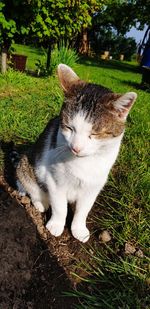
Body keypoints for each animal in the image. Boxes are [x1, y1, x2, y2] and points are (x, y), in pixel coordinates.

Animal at [15, 63, 137, 242]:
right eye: (69, 127)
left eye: (94, 134)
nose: (76, 148)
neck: (83, 161)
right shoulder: (54, 181)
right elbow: (60, 207)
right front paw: (56, 225)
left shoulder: (93, 186)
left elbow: (83, 210)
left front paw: (78, 229)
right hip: (26, 165)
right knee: (31, 187)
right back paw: (41, 202)